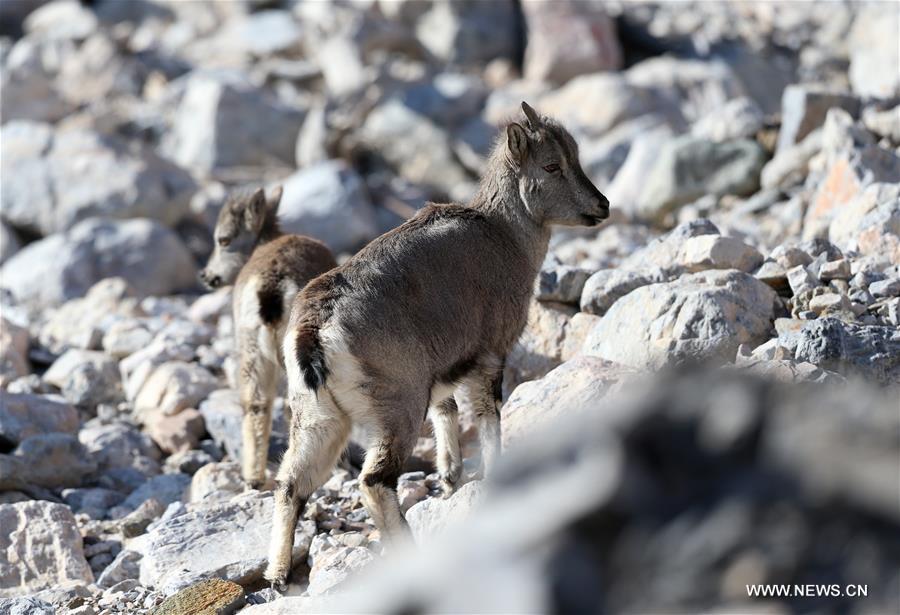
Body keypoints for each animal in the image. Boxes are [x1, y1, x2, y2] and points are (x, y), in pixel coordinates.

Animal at [199, 186, 337, 488]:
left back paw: (254, 477)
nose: (206, 275)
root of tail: (271, 287)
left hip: (251, 346)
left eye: (223, 239)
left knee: (256, 404)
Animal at [265, 102, 609, 585]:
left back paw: (277, 574)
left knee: (291, 484)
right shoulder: (490, 353)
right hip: (397, 406)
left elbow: (446, 411)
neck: (505, 236)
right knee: (374, 481)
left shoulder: (442, 372)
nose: (602, 205)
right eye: (551, 165)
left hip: (317, 418)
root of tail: (314, 333)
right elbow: (487, 417)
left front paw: (450, 479)